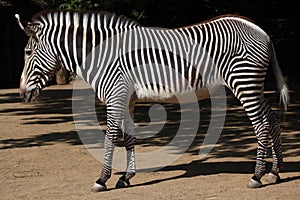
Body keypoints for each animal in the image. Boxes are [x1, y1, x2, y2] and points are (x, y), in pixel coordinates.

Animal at [15, 10, 290, 191]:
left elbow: (110, 138)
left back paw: (257, 176)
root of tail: (260, 30)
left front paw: (102, 179)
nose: (22, 93)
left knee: (261, 125)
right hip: (252, 84)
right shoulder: (127, 99)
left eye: (28, 52)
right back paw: (274, 172)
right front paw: (126, 177)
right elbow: (128, 138)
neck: (103, 55)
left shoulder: (115, 96)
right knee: (271, 117)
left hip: (243, 82)